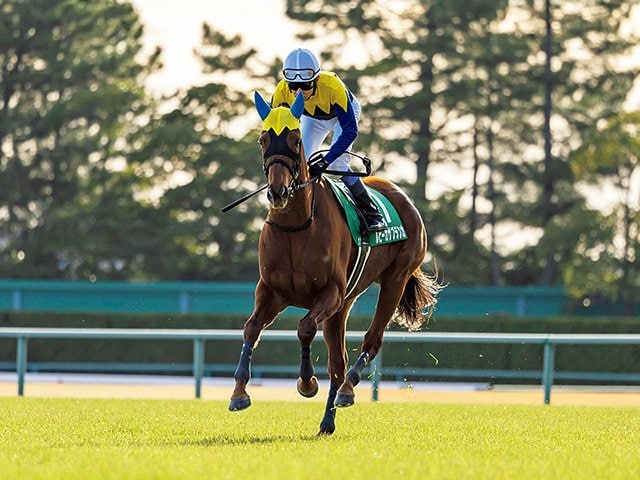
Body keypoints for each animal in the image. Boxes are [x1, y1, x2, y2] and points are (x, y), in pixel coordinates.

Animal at [228, 91, 441, 435]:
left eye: (295, 140)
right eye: (263, 139)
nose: (277, 192)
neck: (297, 226)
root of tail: (403, 197)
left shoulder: (329, 293)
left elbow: (304, 328)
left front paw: (307, 383)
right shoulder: (272, 292)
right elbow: (251, 328)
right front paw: (239, 393)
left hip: (394, 280)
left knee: (371, 342)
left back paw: (346, 391)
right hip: (345, 303)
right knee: (338, 361)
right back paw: (328, 420)